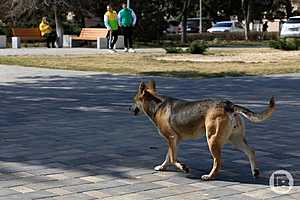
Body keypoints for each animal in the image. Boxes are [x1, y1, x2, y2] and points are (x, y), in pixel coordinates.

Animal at [130, 80, 276, 180]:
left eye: (134, 100)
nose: (129, 108)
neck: (156, 104)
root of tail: (229, 105)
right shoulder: (174, 141)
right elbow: (168, 157)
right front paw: (162, 167)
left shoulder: (171, 138)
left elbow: (172, 158)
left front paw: (183, 167)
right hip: (235, 139)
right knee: (251, 151)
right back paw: (255, 172)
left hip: (212, 140)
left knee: (218, 162)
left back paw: (210, 176)